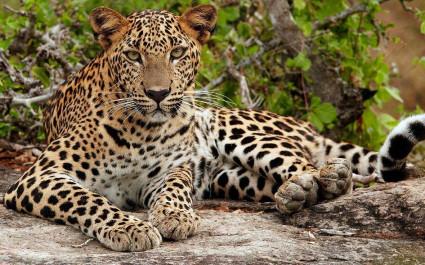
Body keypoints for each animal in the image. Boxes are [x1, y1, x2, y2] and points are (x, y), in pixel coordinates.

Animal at [4, 4, 424, 251]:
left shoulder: (168, 171)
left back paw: (322, 179)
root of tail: (302, 123)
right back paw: (298, 192)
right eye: (134, 55)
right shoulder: (40, 176)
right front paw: (130, 228)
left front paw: (175, 217)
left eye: (177, 52)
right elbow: (88, 199)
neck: (141, 130)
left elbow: (173, 189)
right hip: (228, 177)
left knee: (301, 158)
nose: (158, 94)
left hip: (229, 124)